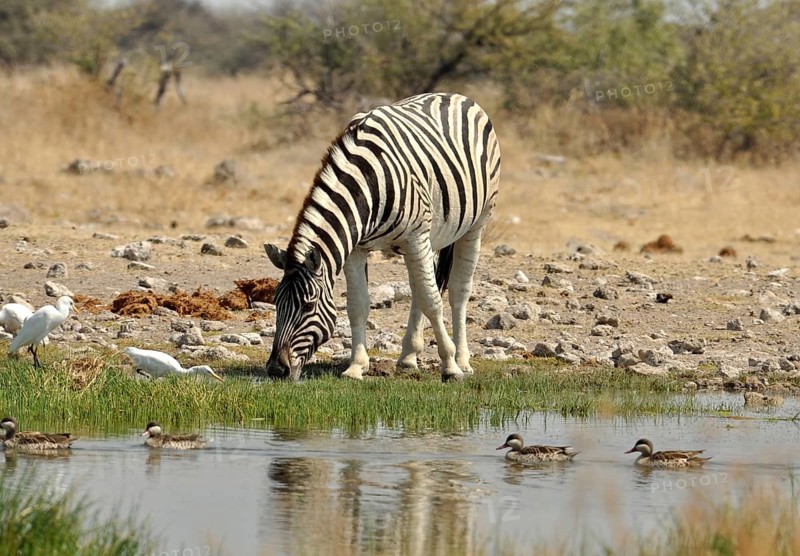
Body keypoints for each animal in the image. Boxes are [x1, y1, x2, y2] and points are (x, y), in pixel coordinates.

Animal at [264, 92, 501, 381]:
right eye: (276, 302)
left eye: (308, 306)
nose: (276, 369)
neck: (367, 183)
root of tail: (455, 95)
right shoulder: (357, 248)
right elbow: (358, 305)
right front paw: (356, 366)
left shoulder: (415, 237)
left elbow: (433, 301)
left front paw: (450, 365)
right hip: (426, 239)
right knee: (420, 288)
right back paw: (409, 357)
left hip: (475, 224)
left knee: (457, 291)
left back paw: (463, 360)